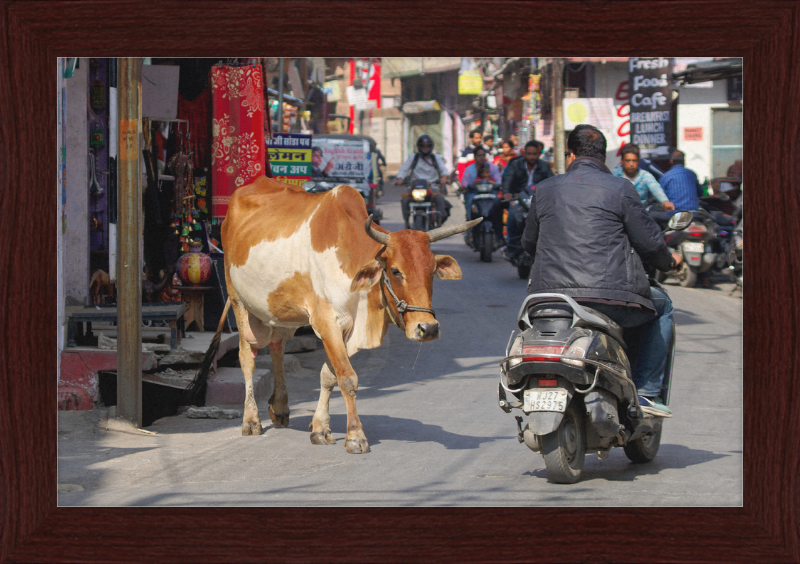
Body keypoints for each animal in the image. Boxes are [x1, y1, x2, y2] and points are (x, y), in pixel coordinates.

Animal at [191, 176, 478, 454]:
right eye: (396, 271)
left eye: (431, 271)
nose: (427, 328)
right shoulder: (327, 323)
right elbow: (347, 378)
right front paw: (355, 436)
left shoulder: (347, 330)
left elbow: (329, 375)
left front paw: (320, 429)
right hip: (239, 300)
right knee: (246, 356)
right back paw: (251, 420)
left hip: (278, 312)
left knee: (277, 348)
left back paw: (280, 408)